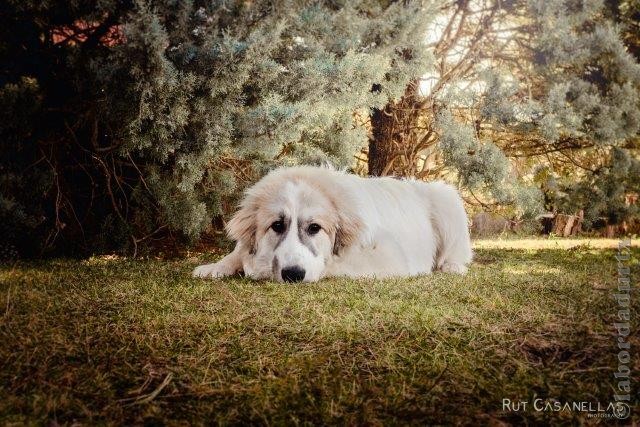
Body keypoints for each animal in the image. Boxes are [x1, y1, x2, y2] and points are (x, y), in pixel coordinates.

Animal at [191, 167, 470, 284]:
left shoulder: (388, 256)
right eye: (277, 225)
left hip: (447, 201)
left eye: (315, 228)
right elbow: (237, 252)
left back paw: (452, 267)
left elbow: (331, 264)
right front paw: (214, 267)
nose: (293, 274)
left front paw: (256, 269)